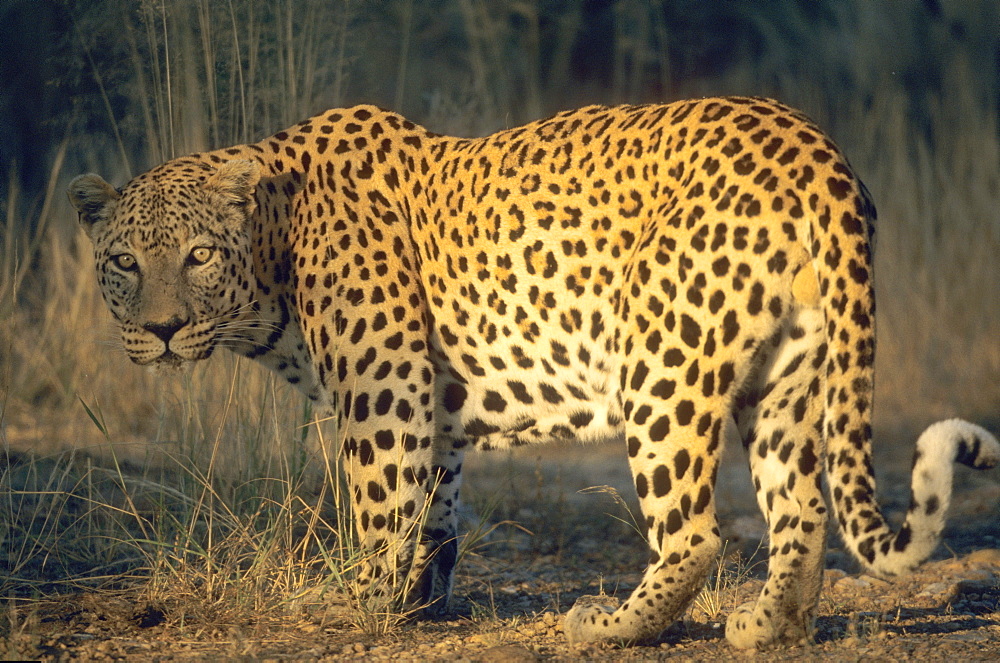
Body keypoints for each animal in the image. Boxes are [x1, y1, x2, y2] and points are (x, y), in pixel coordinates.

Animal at [68, 97, 1000, 648]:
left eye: (196, 256)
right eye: (123, 261)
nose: (160, 330)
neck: (270, 258)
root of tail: (814, 146)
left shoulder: (382, 385)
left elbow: (380, 503)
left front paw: (353, 603)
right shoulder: (430, 397)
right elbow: (432, 504)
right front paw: (420, 597)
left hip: (660, 353)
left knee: (694, 531)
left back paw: (610, 625)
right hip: (788, 372)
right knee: (800, 505)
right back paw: (769, 624)